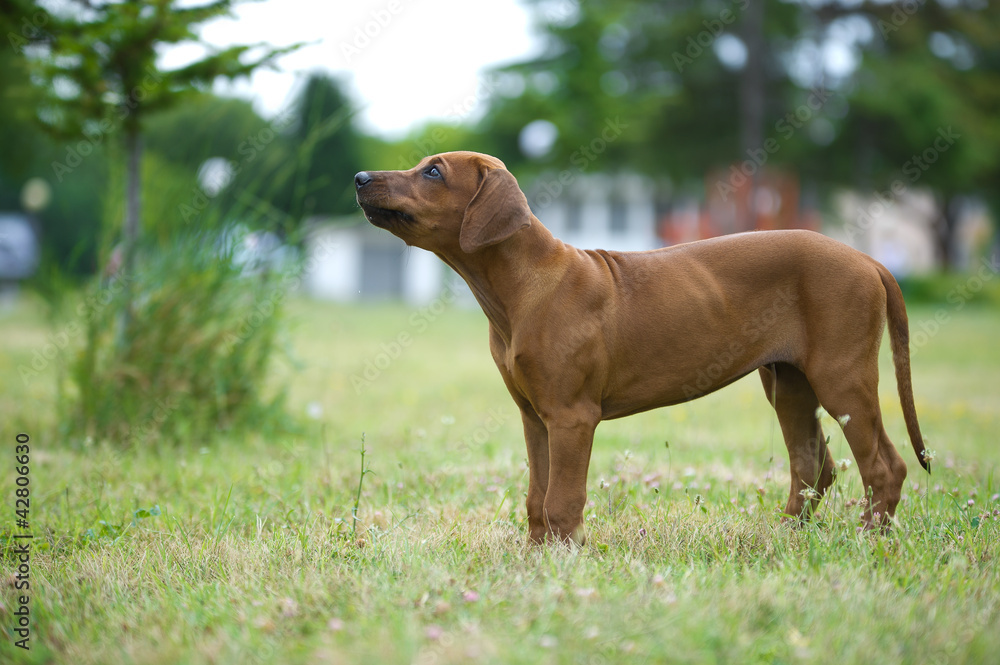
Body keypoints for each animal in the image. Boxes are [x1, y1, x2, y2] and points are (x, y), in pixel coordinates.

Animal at [354, 152, 928, 544]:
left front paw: (564, 560)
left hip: (841, 377)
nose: (359, 178)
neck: (520, 287)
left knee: (885, 468)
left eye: (433, 172)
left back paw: (869, 541)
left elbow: (563, 498)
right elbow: (537, 497)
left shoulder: (572, 416)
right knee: (813, 468)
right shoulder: (534, 417)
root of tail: (866, 259)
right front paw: (536, 559)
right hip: (789, 383)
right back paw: (784, 540)